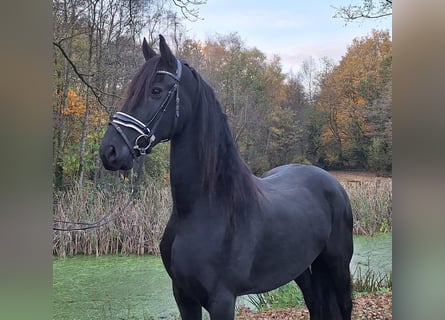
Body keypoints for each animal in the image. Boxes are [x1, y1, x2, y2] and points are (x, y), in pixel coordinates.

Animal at [99, 35, 352, 320]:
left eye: (156, 90)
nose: (109, 150)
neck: (207, 209)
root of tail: (331, 182)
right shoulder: (183, 296)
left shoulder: (222, 299)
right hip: (302, 268)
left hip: (338, 264)